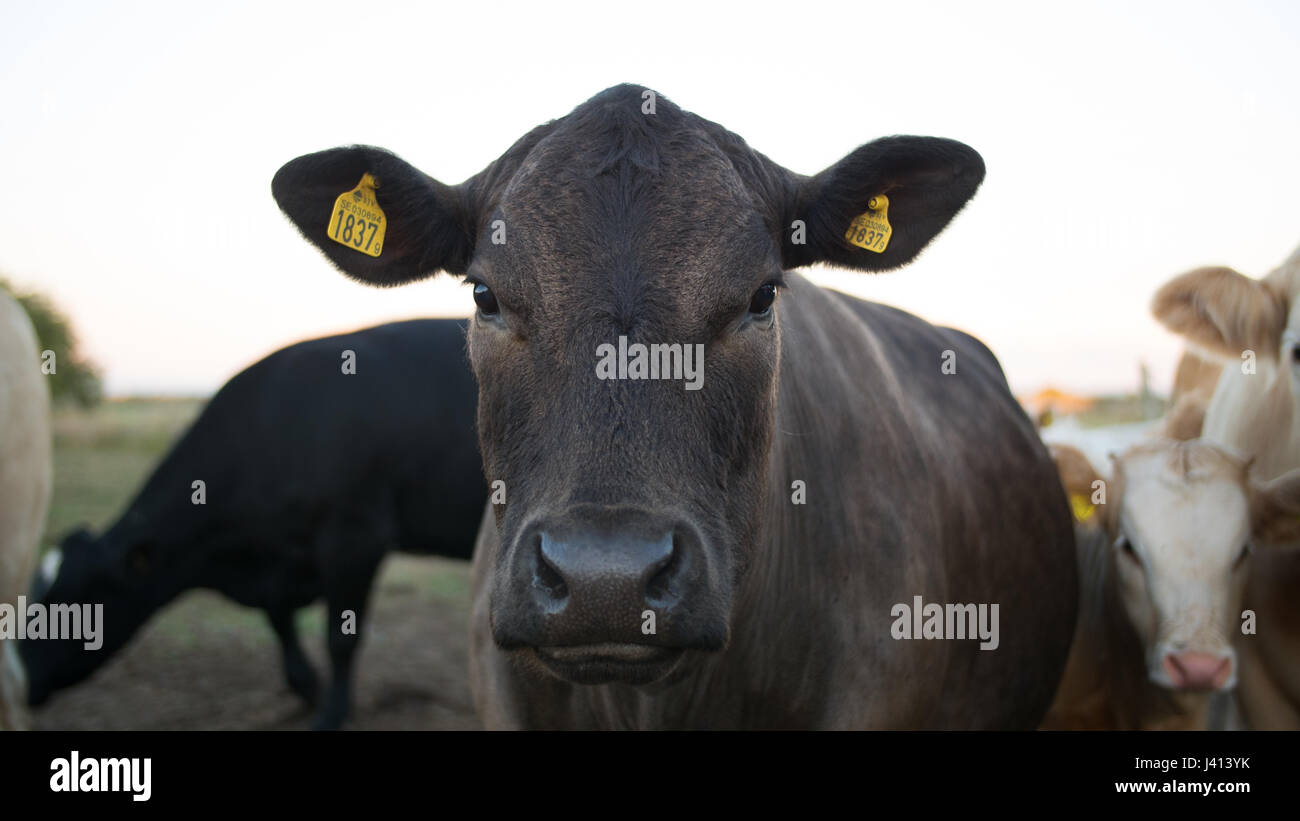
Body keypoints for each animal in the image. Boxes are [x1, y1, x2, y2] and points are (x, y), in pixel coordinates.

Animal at [21, 319, 485, 730]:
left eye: (75, 600)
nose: (20, 676)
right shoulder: (278, 564)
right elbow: (280, 621)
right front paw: (308, 689)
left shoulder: (356, 538)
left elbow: (340, 638)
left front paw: (331, 715)